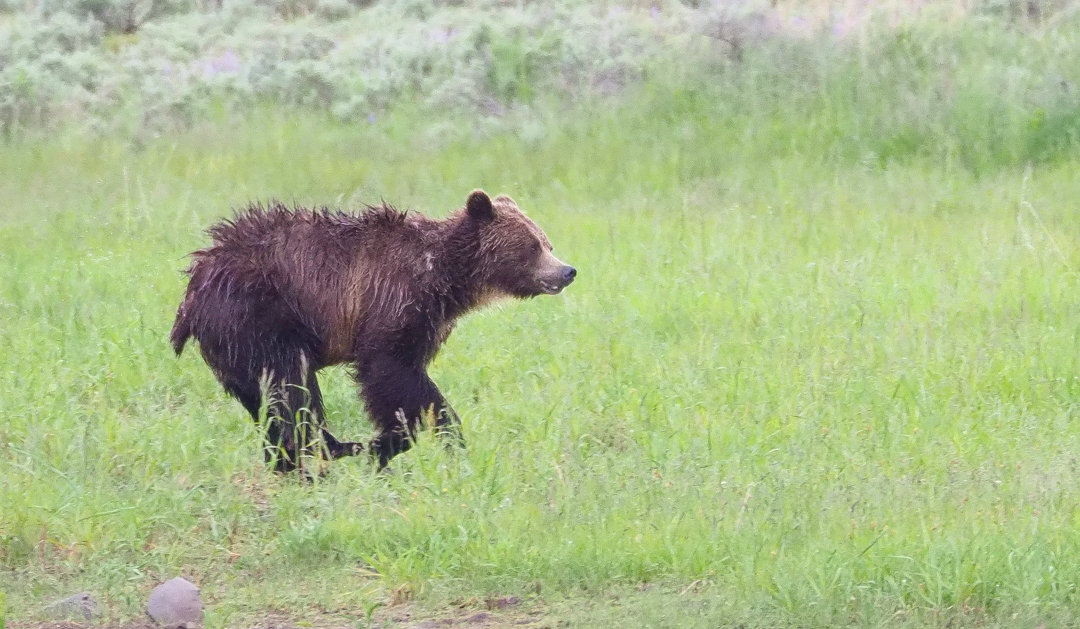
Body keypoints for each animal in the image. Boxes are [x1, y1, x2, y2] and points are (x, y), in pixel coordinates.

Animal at [168, 192, 574, 473]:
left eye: (546, 241)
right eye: (532, 246)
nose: (567, 270)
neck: (446, 281)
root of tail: (194, 286)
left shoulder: (428, 321)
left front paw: (389, 443)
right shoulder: (391, 300)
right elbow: (392, 374)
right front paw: (408, 438)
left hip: (237, 345)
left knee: (273, 401)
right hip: (258, 316)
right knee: (290, 387)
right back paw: (321, 455)